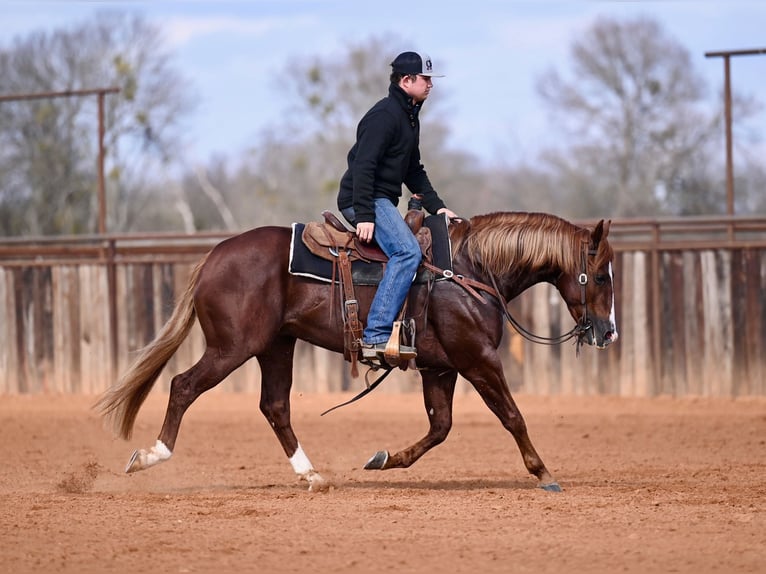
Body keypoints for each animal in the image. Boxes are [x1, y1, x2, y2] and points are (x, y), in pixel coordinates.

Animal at [96, 211, 618, 492]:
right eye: (602, 274)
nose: (608, 333)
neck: (469, 270)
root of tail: (212, 257)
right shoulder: (479, 361)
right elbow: (513, 416)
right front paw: (544, 472)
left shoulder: (440, 369)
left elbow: (441, 427)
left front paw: (383, 459)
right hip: (232, 347)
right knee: (183, 385)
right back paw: (150, 456)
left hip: (275, 347)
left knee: (274, 406)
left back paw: (312, 475)